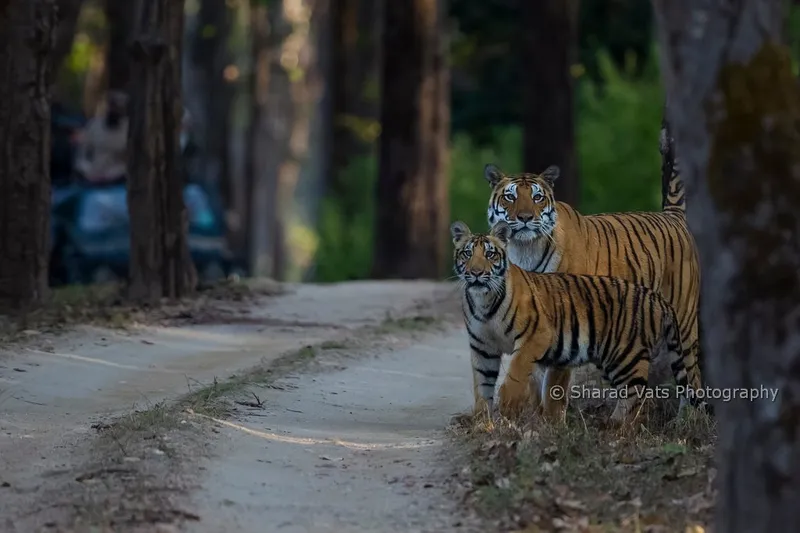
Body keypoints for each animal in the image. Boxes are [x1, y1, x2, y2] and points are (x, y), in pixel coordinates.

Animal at [482, 119, 700, 420]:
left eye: (537, 198)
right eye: (510, 197)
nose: (525, 218)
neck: (524, 249)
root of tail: (673, 216)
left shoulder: (565, 315)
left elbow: (554, 379)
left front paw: (552, 420)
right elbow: (534, 373)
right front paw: (535, 418)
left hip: (684, 322)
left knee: (692, 375)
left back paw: (687, 420)